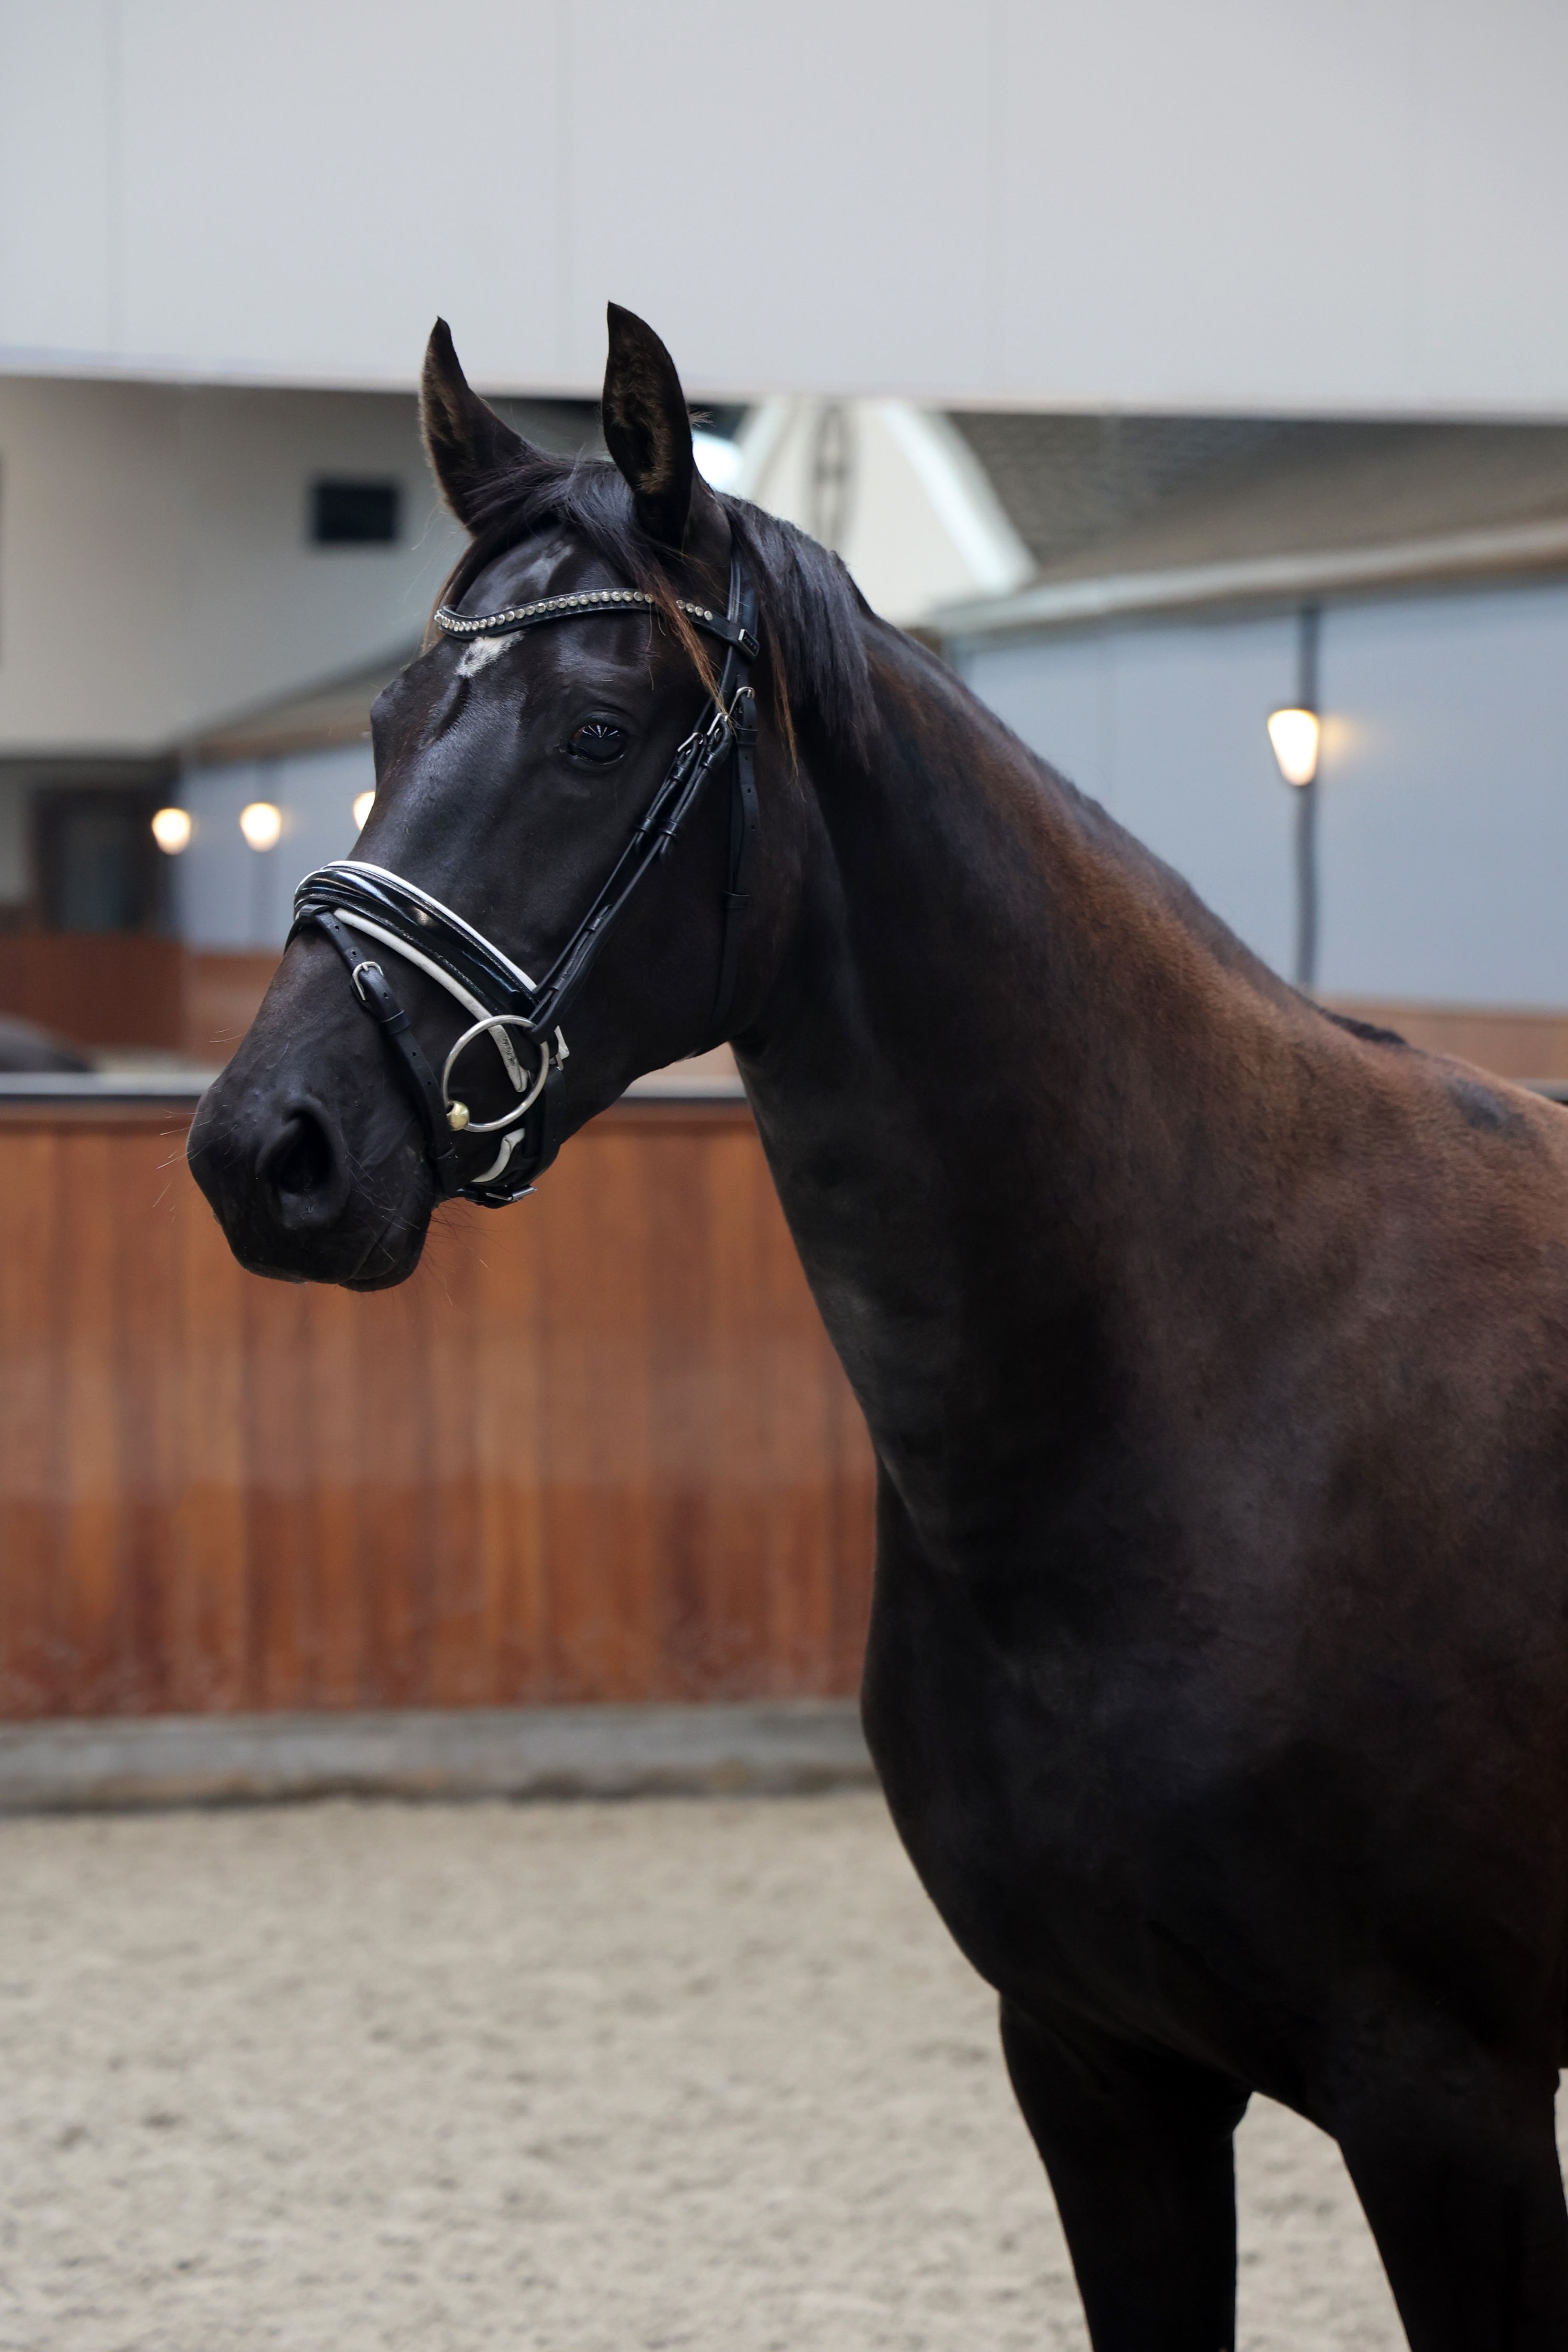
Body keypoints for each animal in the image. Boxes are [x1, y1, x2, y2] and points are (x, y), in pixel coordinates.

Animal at [189, 304, 1568, 2351]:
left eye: (596, 734)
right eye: (376, 732)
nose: (260, 1150)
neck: (1219, 1401)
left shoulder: (1451, 2112)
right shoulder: (1097, 2075)